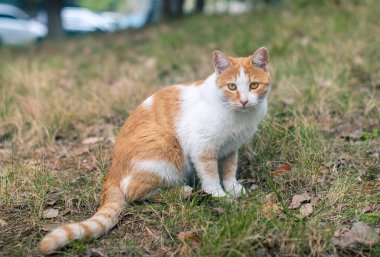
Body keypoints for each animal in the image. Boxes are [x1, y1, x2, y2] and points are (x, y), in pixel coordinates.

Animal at [38, 47, 270, 253]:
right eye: (232, 86)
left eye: (254, 85)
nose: (244, 101)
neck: (237, 115)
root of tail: (113, 168)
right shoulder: (203, 148)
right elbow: (211, 176)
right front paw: (219, 195)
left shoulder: (230, 148)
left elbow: (229, 170)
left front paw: (233, 188)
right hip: (167, 149)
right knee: (135, 191)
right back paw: (182, 191)